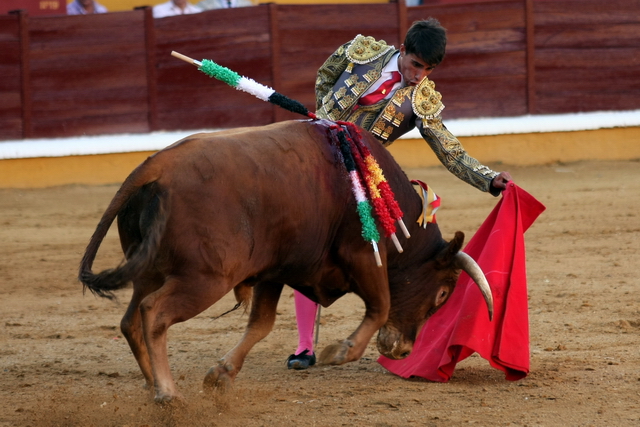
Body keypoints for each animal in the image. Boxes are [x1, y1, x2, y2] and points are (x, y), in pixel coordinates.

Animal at [77, 119, 492, 404]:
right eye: (443, 293)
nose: (403, 350)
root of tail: (155, 166)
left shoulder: (274, 271)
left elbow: (261, 324)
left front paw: (221, 374)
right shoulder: (363, 255)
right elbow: (380, 306)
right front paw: (338, 352)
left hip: (147, 268)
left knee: (130, 319)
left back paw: (151, 385)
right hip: (205, 278)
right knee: (154, 313)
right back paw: (167, 394)